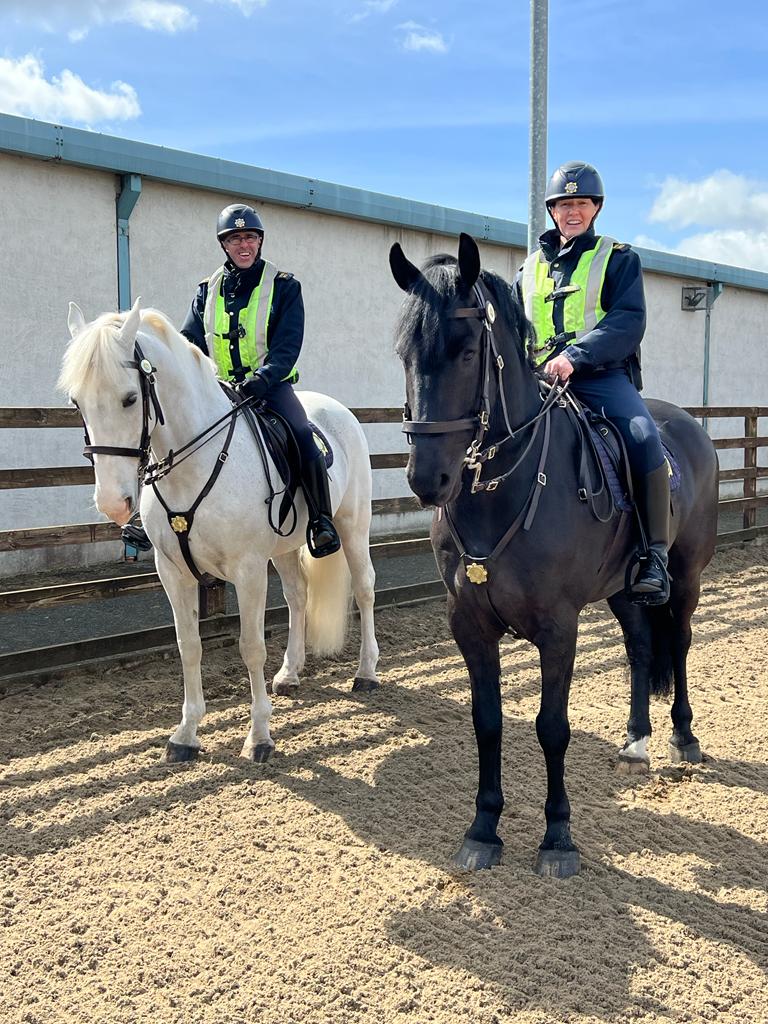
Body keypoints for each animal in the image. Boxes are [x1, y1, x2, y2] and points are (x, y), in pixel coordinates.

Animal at [59, 299, 380, 763]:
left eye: (130, 398)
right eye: (76, 402)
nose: (112, 503)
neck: (195, 461)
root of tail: (337, 409)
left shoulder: (248, 571)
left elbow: (250, 646)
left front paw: (259, 736)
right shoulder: (172, 572)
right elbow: (189, 644)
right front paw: (185, 734)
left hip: (353, 526)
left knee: (365, 587)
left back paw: (367, 672)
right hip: (284, 549)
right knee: (298, 596)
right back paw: (290, 673)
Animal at [389, 233, 718, 877]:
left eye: (468, 351)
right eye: (405, 354)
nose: (427, 479)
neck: (504, 493)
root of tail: (688, 425)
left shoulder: (558, 627)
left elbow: (552, 728)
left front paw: (558, 838)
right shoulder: (469, 624)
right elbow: (487, 723)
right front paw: (484, 829)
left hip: (686, 578)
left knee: (679, 642)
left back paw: (683, 737)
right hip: (623, 590)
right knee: (641, 649)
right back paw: (636, 741)